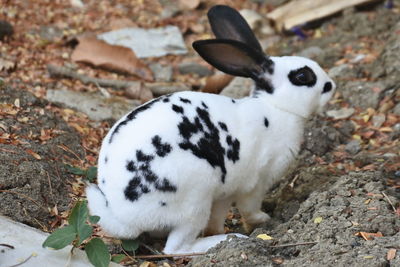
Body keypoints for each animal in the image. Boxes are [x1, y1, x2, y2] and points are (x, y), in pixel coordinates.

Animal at [86, 4, 336, 255]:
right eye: (302, 76)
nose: (331, 85)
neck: (276, 107)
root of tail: (124, 217)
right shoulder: (256, 183)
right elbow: (249, 207)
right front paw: (262, 220)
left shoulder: (226, 192)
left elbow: (218, 215)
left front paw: (218, 229)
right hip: (194, 199)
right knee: (176, 248)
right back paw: (225, 241)